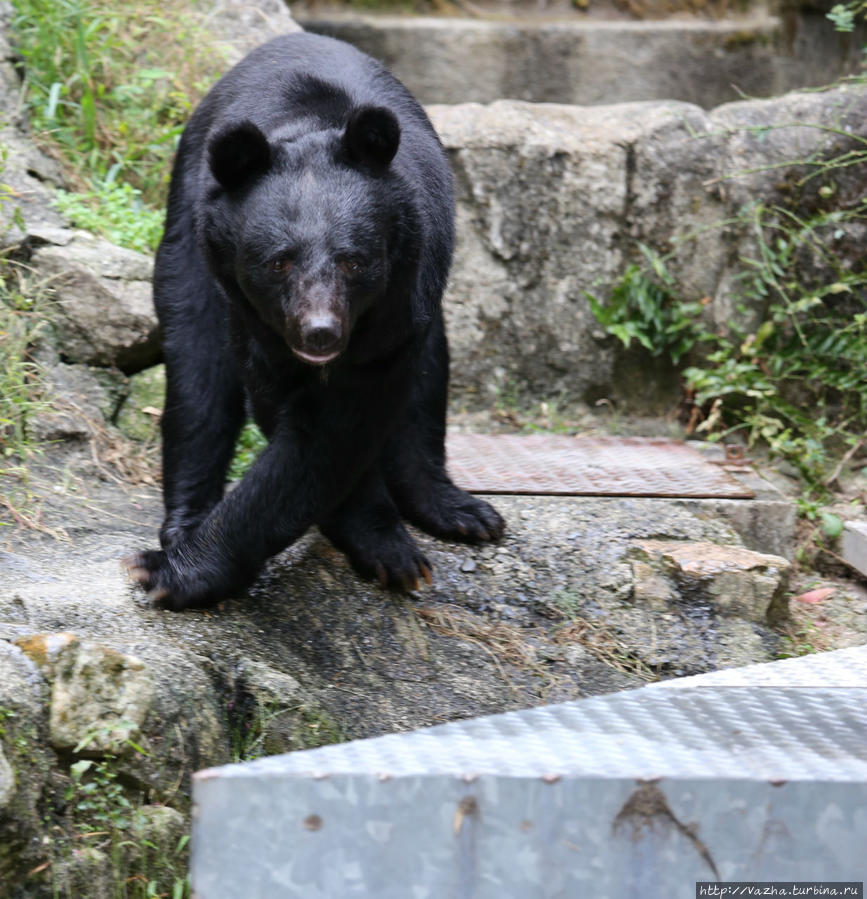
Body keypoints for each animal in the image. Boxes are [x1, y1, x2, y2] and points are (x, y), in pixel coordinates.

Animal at [123, 33, 502, 612]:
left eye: (354, 261)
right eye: (278, 262)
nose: (320, 332)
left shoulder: (398, 300)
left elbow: (341, 424)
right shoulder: (254, 316)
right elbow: (302, 427)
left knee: (428, 378)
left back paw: (460, 511)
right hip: (186, 242)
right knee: (197, 375)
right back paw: (184, 521)